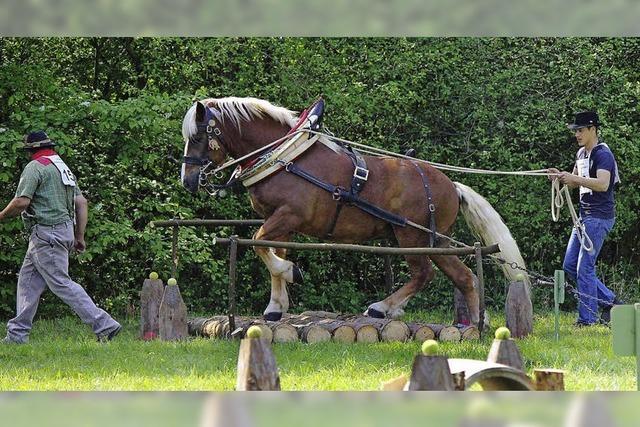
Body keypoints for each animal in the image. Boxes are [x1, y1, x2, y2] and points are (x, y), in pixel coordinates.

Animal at [181, 97, 528, 326]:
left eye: (197, 136)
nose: (188, 180)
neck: (284, 157)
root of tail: (451, 185)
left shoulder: (289, 215)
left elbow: (259, 244)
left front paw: (292, 272)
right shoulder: (278, 220)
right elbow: (269, 250)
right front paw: (276, 306)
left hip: (411, 236)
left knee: (424, 273)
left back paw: (381, 308)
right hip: (436, 240)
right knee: (465, 277)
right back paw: (475, 325)